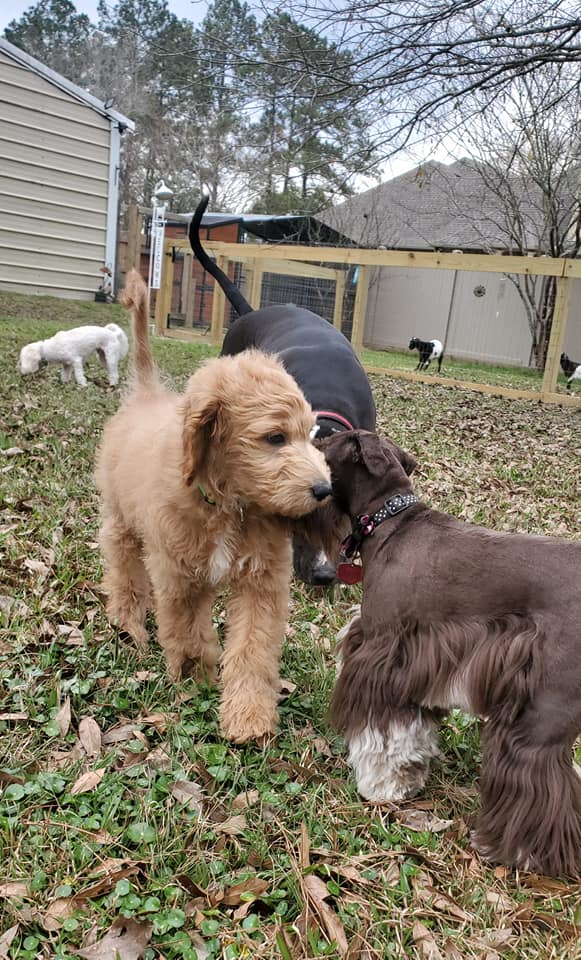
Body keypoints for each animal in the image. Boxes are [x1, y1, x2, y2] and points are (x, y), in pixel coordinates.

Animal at [95, 270, 330, 744]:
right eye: (275, 438)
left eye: (310, 434)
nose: (324, 489)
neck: (230, 505)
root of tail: (146, 395)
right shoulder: (179, 575)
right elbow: (187, 632)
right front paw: (194, 677)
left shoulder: (261, 583)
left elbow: (253, 648)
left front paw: (248, 715)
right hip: (121, 522)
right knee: (124, 573)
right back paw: (128, 625)